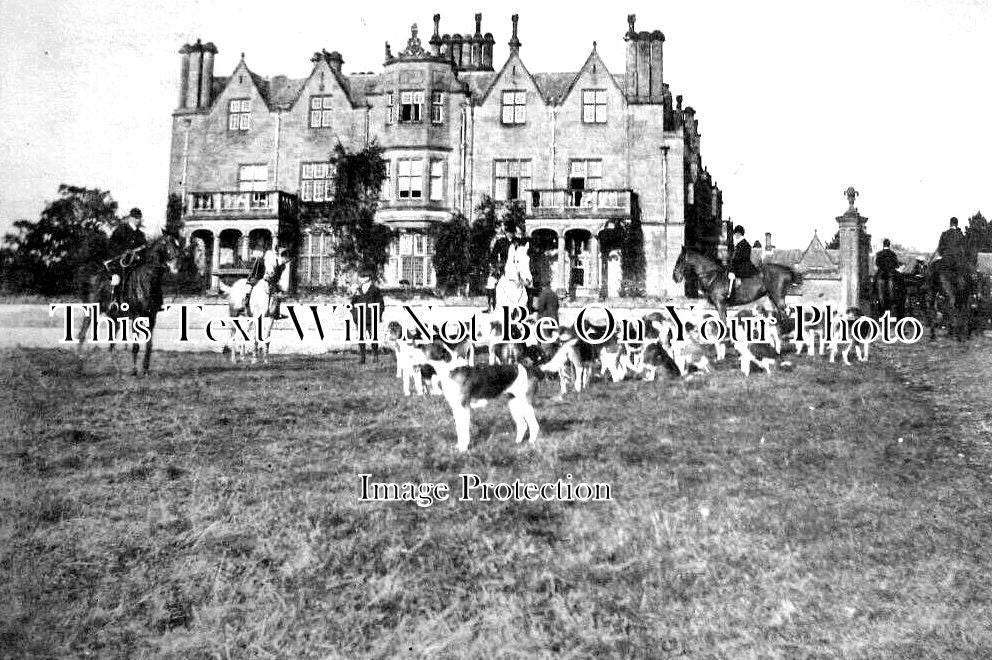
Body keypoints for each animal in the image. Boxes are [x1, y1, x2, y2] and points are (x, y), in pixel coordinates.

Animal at [79, 235, 184, 374]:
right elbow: (136, 346)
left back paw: (116, 368)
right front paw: (134, 370)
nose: (178, 267)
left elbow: (149, 345)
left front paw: (145, 369)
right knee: (82, 334)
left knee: (111, 343)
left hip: (115, 318)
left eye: (177, 244)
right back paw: (79, 362)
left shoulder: (152, 317)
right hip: (91, 311)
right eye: (167, 245)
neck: (147, 280)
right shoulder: (136, 316)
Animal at [672, 245, 804, 322]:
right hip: (773, 297)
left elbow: (723, 322)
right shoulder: (722, 305)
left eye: (680, 260)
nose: (675, 277)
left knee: (786, 314)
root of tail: (786, 270)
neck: (712, 275)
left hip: (778, 297)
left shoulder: (720, 304)